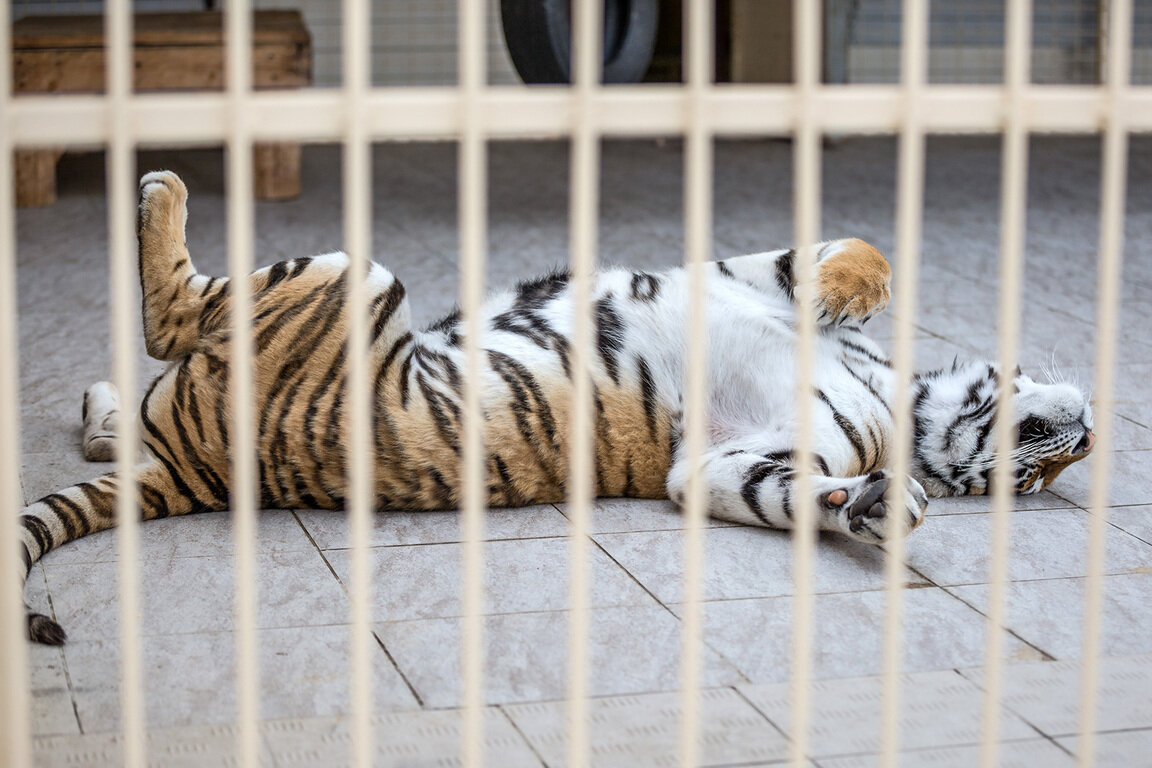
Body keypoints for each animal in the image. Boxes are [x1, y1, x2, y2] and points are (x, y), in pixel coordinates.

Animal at [20, 171, 1096, 644]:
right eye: (1050, 465)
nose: (1086, 439)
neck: (896, 391)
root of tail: (200, 472)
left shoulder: (714, 465)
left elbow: (785, 490)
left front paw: (877, 505)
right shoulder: (736, 275)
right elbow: (845, 250)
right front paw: (850, 287)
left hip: (342, 278)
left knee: (171, 319)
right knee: (160, 340)